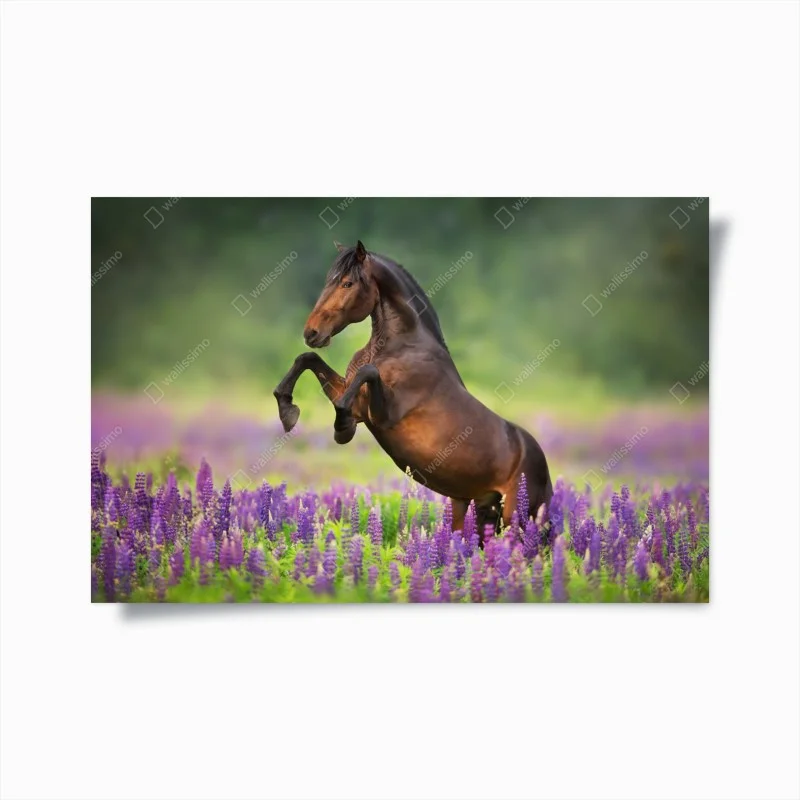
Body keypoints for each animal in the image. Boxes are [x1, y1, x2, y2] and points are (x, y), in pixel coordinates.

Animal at [273, 240, 553, 541]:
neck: (403, 345)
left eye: (347, 283)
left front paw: (341, 427)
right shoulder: (352, 398)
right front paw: (288, 411)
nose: (311, 333)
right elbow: (307, 359)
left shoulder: (382, 414)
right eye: (329, 280)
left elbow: (367, 372)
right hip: (478, 510)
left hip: (517, 518)